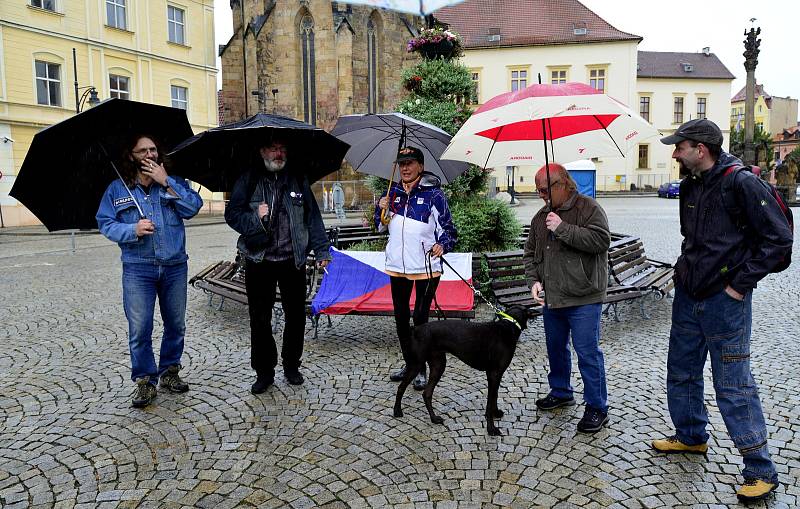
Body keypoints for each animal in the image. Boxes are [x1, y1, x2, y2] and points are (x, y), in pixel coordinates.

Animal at [394, 304, 532, 434]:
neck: (508, 326)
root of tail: (416, 329)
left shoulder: (496, 375)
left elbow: (495, 396)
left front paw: (496, 413)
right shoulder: (494, 374)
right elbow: (489, 402)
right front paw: (491, 428)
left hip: (438, 365)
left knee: (426, 393)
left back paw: (434, 418)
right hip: (416, 364)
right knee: (401, 387)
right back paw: (397, 411)